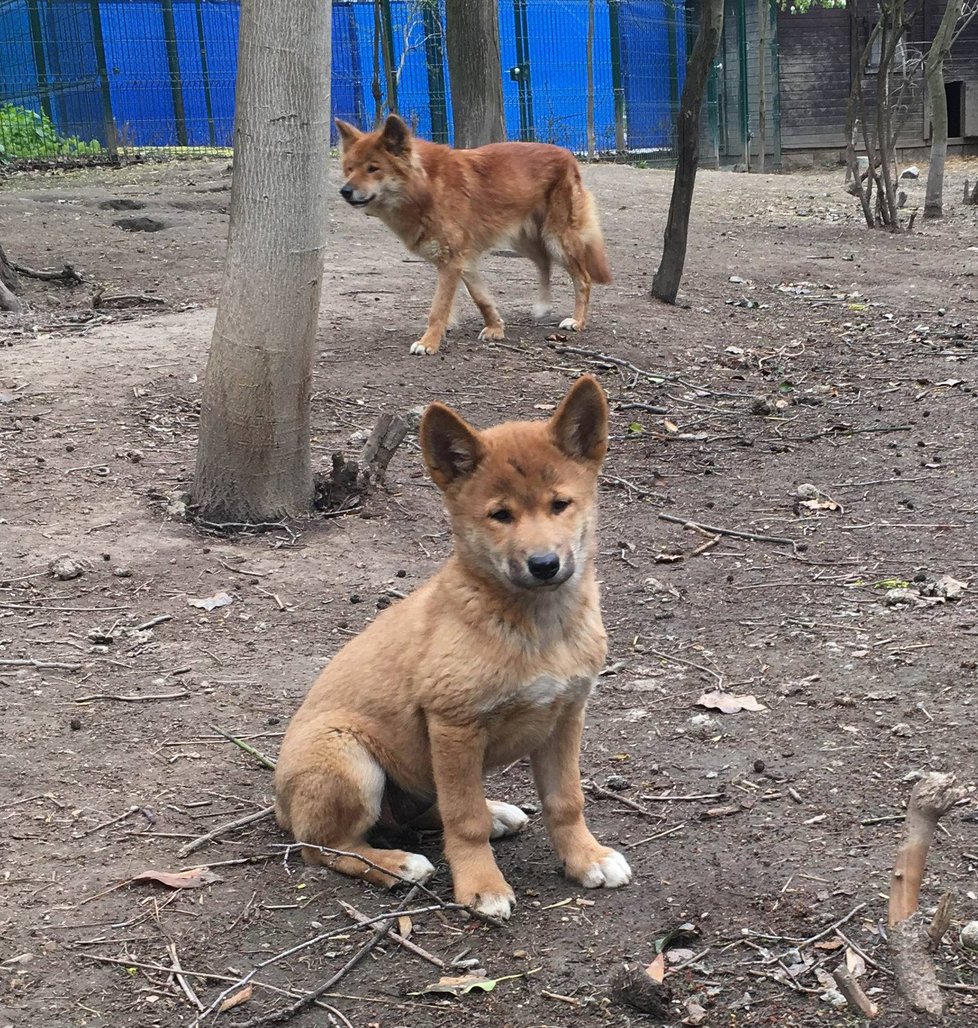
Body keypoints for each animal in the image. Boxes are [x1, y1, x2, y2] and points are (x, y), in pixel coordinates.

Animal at [273, 376, 633, 916]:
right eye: (500, 515)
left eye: (560, 505)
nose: (544, 564)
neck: (537, 626)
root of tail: (280, 805)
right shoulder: (454, 725)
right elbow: (465, 820)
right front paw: (481, 884)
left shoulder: (565, 715)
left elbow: (566, 801)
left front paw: (585, 858)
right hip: (350, 759)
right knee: (327, 846)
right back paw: (397, 865)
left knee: (420, 813)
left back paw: (496, 812)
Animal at [337, 114, 612, 357]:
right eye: (349, 169)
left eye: (373, 168)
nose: (344, 191)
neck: (426, 188)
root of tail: (567, 154)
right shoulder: (463, 260)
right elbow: (481, 298)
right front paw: (496, 328)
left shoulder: (451, 262)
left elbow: (439, 308)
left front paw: (429, 342)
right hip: (522, 240)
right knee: (543, 262)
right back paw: (542, 305)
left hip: (557, 239)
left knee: (583, 279)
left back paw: (577, 321)